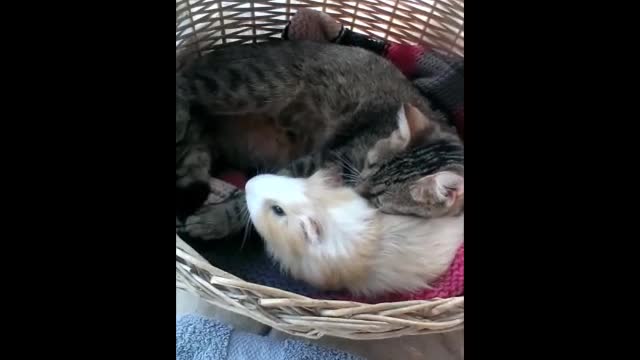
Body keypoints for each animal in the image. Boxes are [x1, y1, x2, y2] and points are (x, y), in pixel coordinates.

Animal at [176, 40, 460, 239]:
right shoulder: (326, 157)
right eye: (369, 164)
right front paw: (218, 219)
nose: (356, 188)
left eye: (378, 199)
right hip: (244, 85)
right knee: (183, 84)